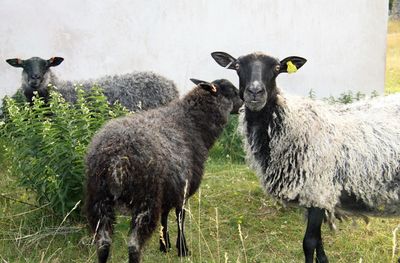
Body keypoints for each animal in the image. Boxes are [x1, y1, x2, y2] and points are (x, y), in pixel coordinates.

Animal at [84, 79, 242, 263]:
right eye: (232, 91)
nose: (244, 102)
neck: (193, 124)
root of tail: (116, 159)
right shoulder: (182, 189)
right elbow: (180, 218)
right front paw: (182, 249)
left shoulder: (168, 190)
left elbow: (165, 216)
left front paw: (164, 245)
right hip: (145, 199)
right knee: (134, 244)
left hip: (99, 198)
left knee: (103, 243)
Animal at [212, 50, 400, 262]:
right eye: (237, 66)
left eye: (277, 68)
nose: (255, 92)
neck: (293, 124)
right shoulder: (313, 198)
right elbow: (318, 241)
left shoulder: (318, 191)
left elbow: (309, 243)